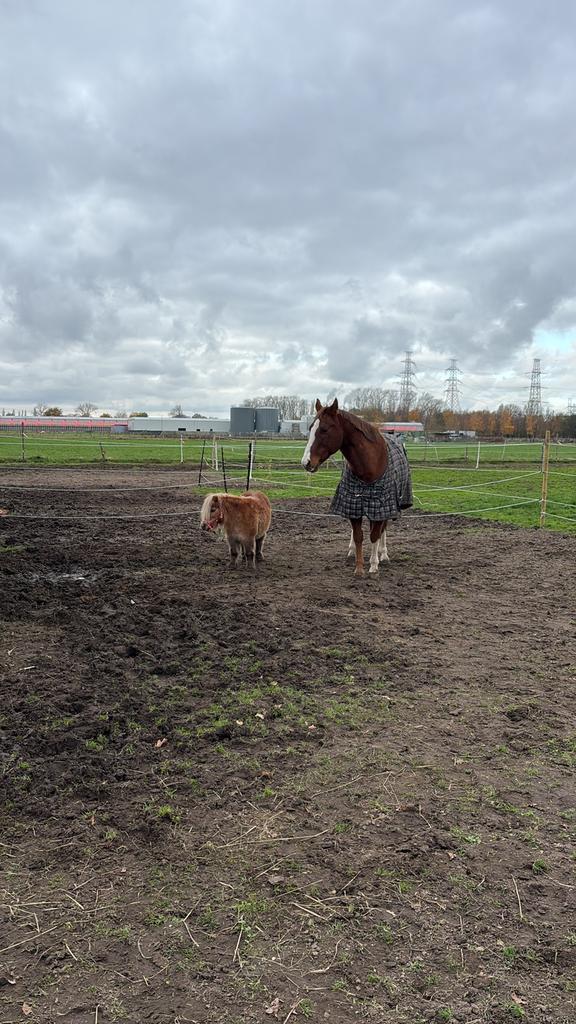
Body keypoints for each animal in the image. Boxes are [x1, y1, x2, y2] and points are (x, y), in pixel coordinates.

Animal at [301, 398, 413, 576]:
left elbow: (374, 535)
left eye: (324, 429)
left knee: (383, 529)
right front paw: (359, 567)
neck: (369, 464)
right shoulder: (353, 503)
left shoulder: (381, 506)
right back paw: (352, 551)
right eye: (311, 428)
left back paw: (383, 554)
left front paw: (373, 565)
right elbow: (359, 535)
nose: (306, 462)